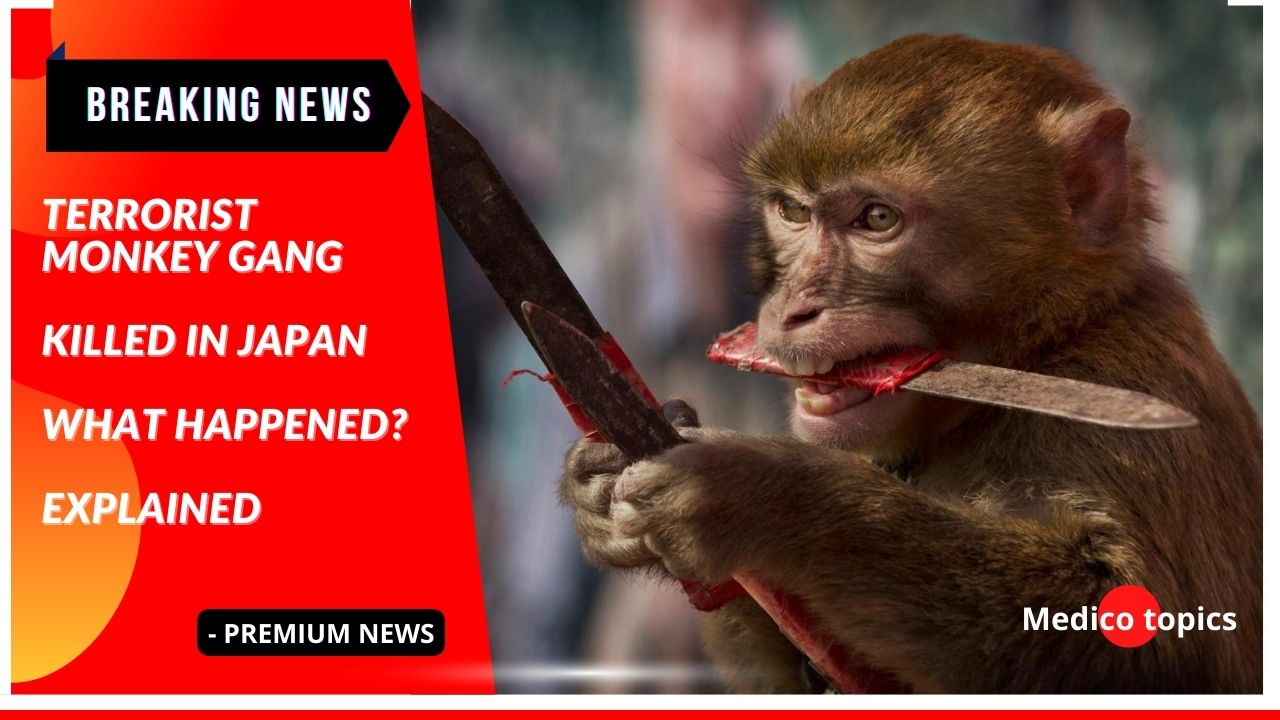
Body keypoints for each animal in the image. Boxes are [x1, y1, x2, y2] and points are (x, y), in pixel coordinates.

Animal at [559, 34, 1261, 693]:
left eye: (877, 219)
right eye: (793, 211)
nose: (791, 309)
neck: (1049, 347)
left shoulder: (1126, 397)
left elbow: (1146, 648)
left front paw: (762, 498)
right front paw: (603, 479)